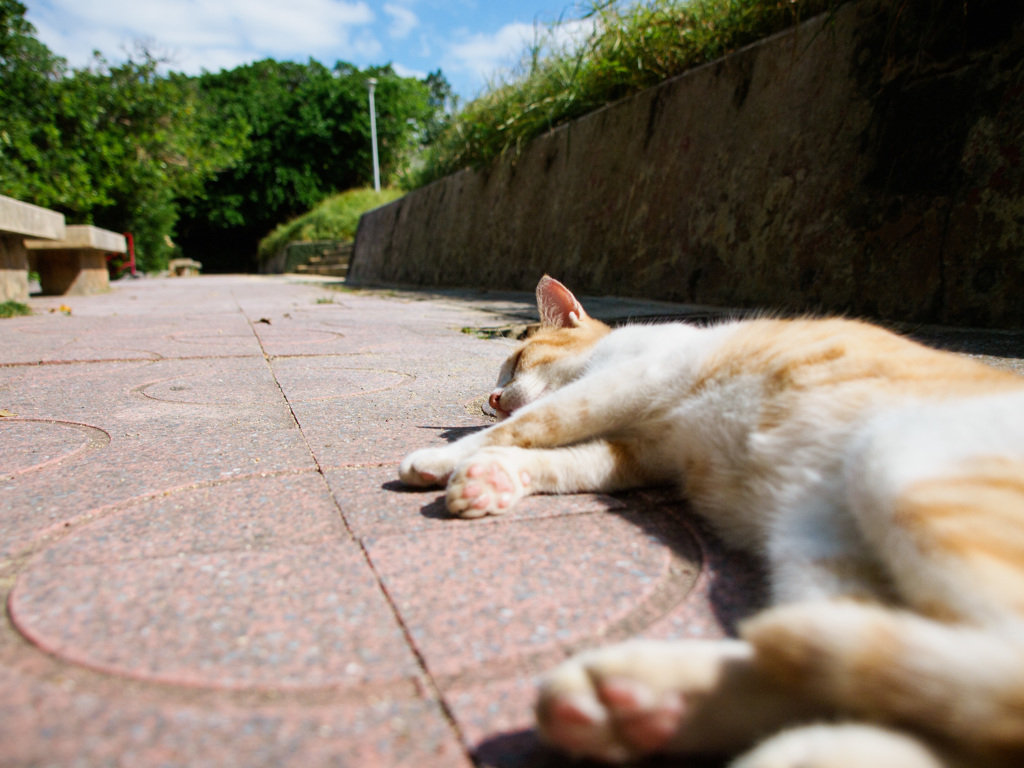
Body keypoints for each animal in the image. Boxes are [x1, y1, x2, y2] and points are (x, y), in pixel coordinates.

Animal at [397, 276, 1024, 768]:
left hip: (900, 463)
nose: (492, 398)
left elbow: (538, 424)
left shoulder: (631, 381)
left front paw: (444, 459)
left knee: (989, 670)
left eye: (517, 363)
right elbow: (562, 457)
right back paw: (641, 707)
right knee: (857, 686)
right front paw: (492, 477)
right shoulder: (639, 451)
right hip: (819, 543)